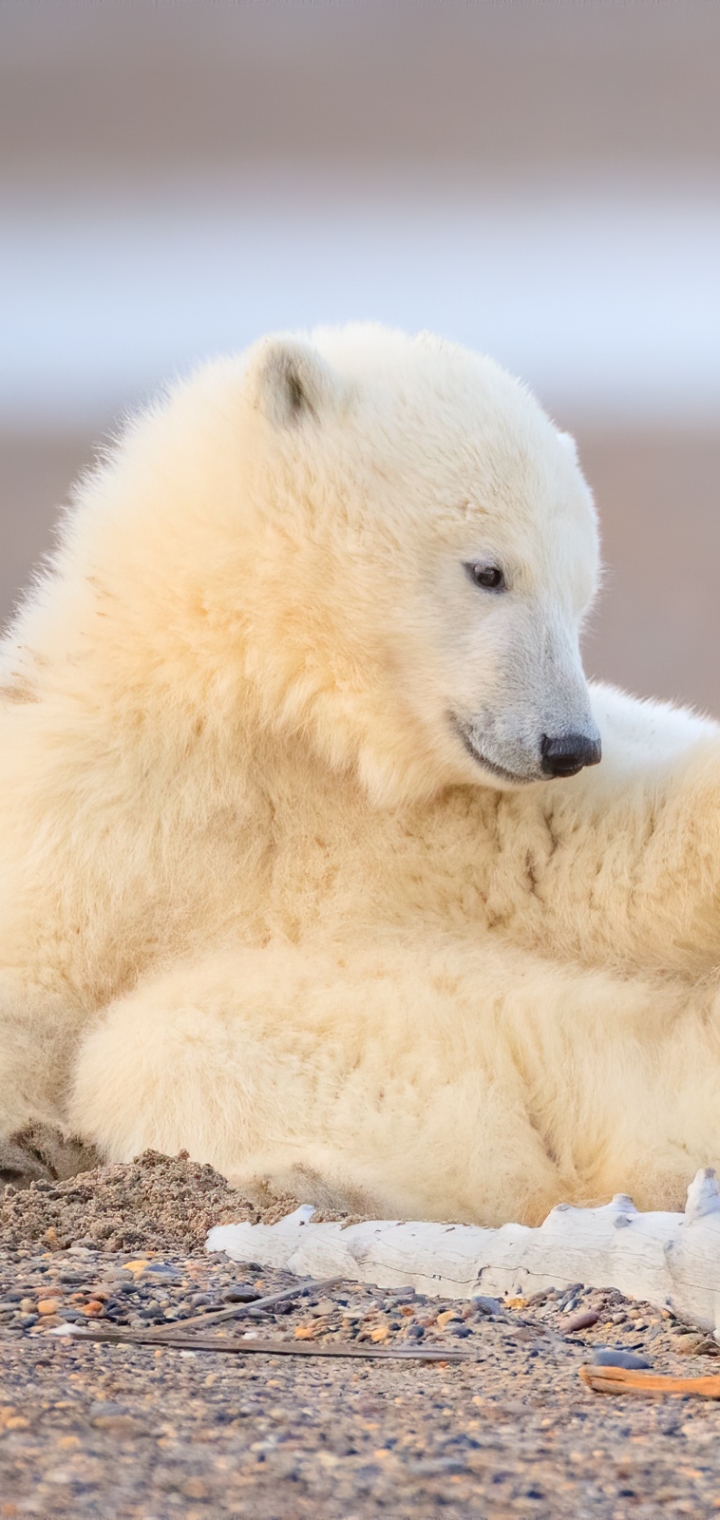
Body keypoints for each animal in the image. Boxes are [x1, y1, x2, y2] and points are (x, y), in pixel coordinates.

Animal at [1, 326, 720, 1228]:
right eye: (489, 571)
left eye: (579, 593)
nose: (569, 743)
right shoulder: (98, 794)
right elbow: (41, 980)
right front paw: (27, 1138)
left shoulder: (471, 824)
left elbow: (627, 857)